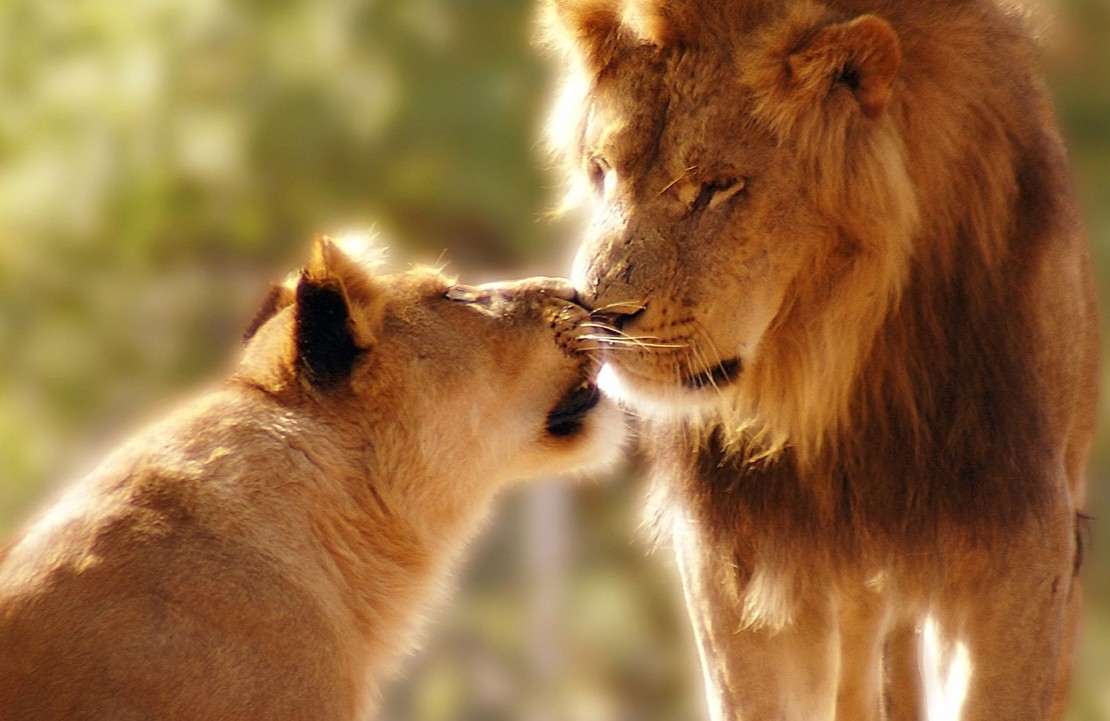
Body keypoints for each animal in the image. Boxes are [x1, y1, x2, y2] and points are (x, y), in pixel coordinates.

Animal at [543, 1, 1098, 719]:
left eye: (720, 186)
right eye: (602, 170)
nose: (600, 314)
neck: (837, 370)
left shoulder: (1023, 539)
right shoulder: (738, 554)